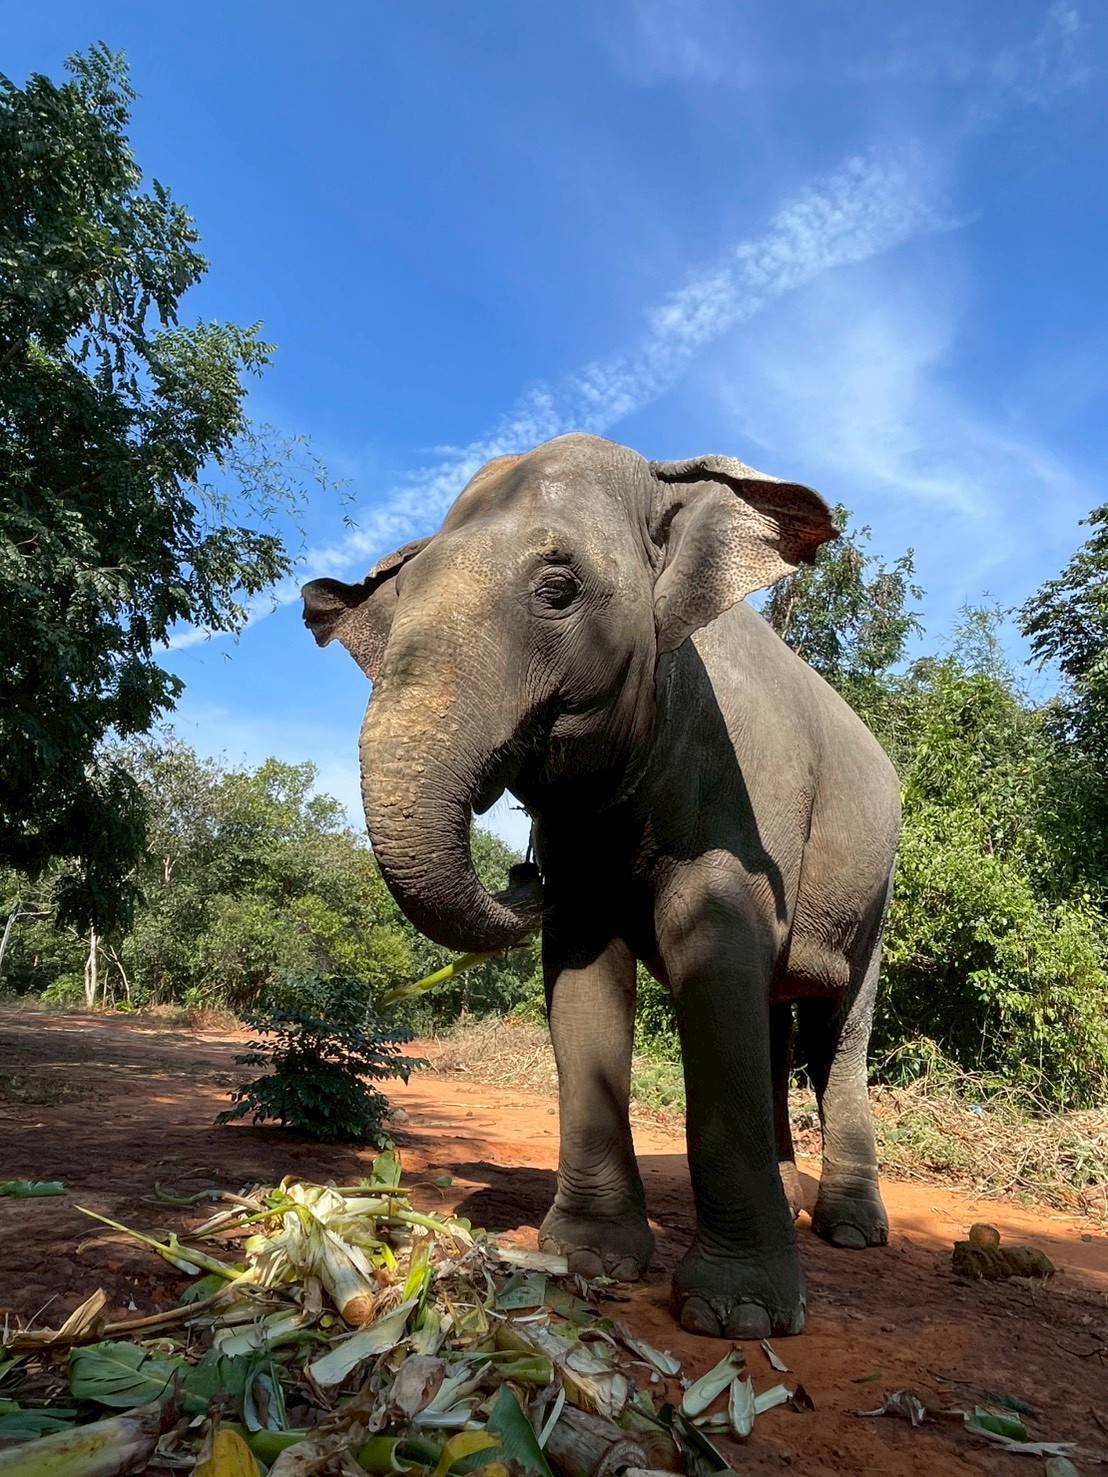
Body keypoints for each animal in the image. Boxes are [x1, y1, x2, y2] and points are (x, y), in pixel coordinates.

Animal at [302, 432, 900, 1339]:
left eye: (559, 589)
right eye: (398, 606)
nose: (523, 869)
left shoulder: (741, 799)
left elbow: (710, 943)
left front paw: (738, 1315)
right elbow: (585, 971)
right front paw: (589, 1258)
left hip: (877, 884)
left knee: (842, 1026)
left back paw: (852, 1231)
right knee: (774, 1019)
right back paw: (794, 1199)